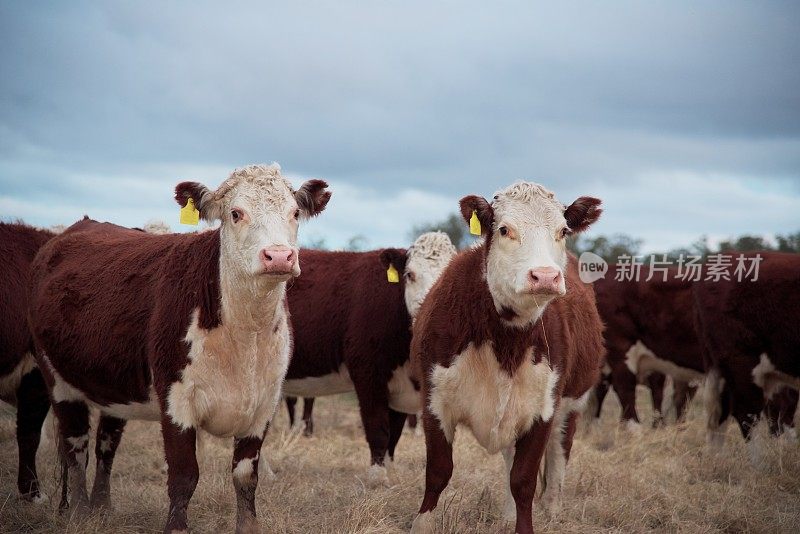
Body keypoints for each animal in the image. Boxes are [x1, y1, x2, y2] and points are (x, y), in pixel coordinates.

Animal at [28, 165, 328, 532]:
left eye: (295, 212)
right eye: (236, 213)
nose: (279, 256)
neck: (244, 335)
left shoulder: (264, 404)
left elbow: (245, 477)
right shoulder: (176, 400)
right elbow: (184, 475)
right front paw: (176, 526)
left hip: (114, 386)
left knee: (105, 445)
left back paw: (102, 507)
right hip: (57, 378)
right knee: (75, 446)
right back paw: (80, 512)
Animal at [282, 230, 456, 486]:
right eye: (410, 275)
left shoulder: (399, 387)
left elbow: (394, 433)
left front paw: (390, 470)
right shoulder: (367, 374)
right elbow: (378, 427)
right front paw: (377, 476)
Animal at [406, 182, 600, 532]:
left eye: (563, 230)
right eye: (504, 229)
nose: (545, 276)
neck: (504, 340)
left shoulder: (543, 411)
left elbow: (523, 481)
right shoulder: (434, 402)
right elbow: (438, 471)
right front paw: (422, 524)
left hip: (572, 406)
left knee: (558, 455)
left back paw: (551, 509)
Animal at [692, 252, 800, 460]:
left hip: (724, 371)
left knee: (722, 417)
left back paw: (718, 462)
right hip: (742, 363)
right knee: (748, 416)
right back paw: (760, 465)